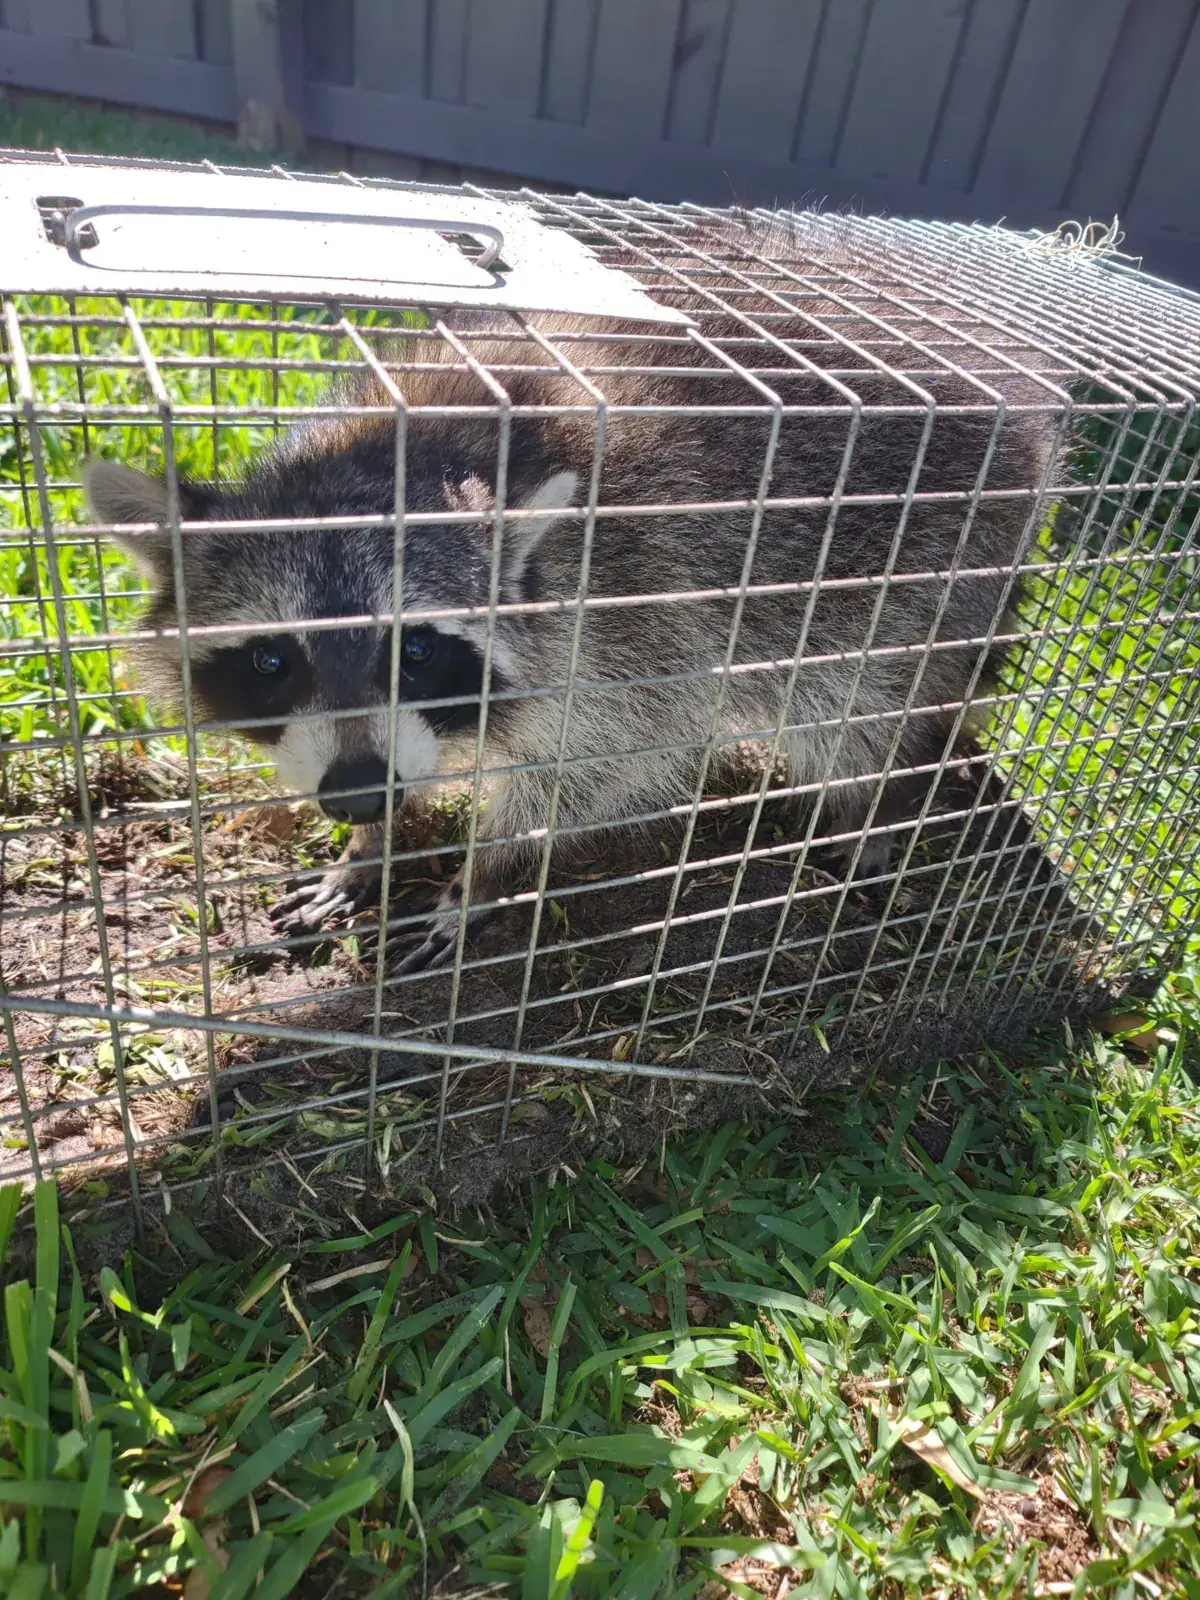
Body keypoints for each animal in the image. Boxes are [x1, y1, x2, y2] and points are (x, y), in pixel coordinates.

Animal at [84, 212, 1062, 973]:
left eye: (418, 647)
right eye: (272, 660)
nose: (356, 796)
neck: (398, 453)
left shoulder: (638, 614)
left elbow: (594, 767)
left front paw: (482, 874)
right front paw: (372, 846)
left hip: (924, 558)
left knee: (854, 709)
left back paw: (866, 814)